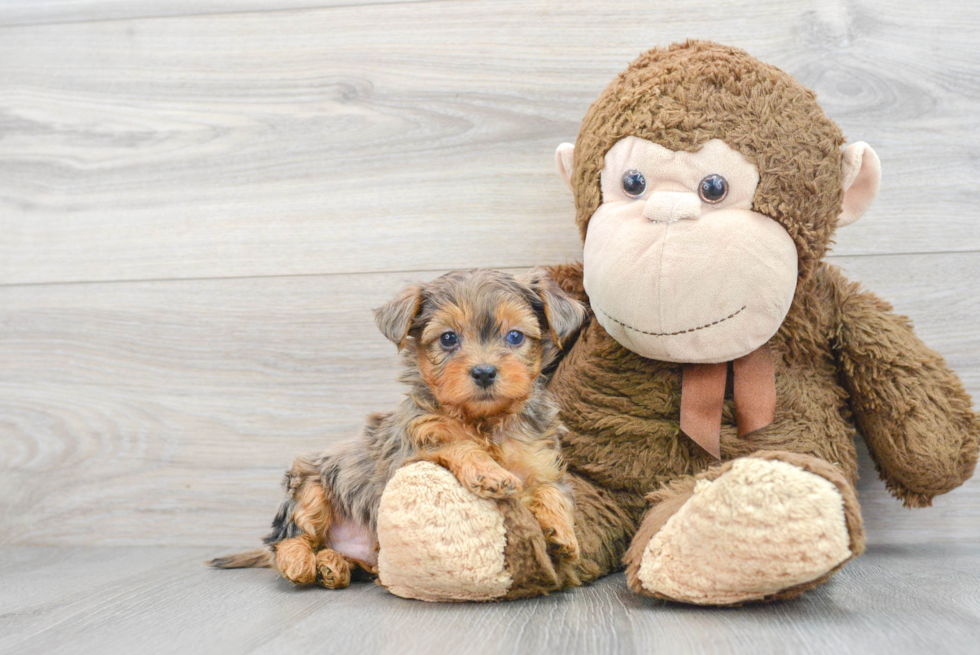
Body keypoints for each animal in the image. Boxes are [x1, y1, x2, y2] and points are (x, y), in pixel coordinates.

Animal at [210, 266, 584, 588]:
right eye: (448, 338)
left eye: (515, 336)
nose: (484, 372)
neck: (484, 420)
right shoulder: (412, 449)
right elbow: (458, 445)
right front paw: (488, 471)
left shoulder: (540, 463)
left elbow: (552, 491)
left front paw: (563, 533)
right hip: (309, 485)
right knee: (290, 537)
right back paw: (300, 563)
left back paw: (333, 566)